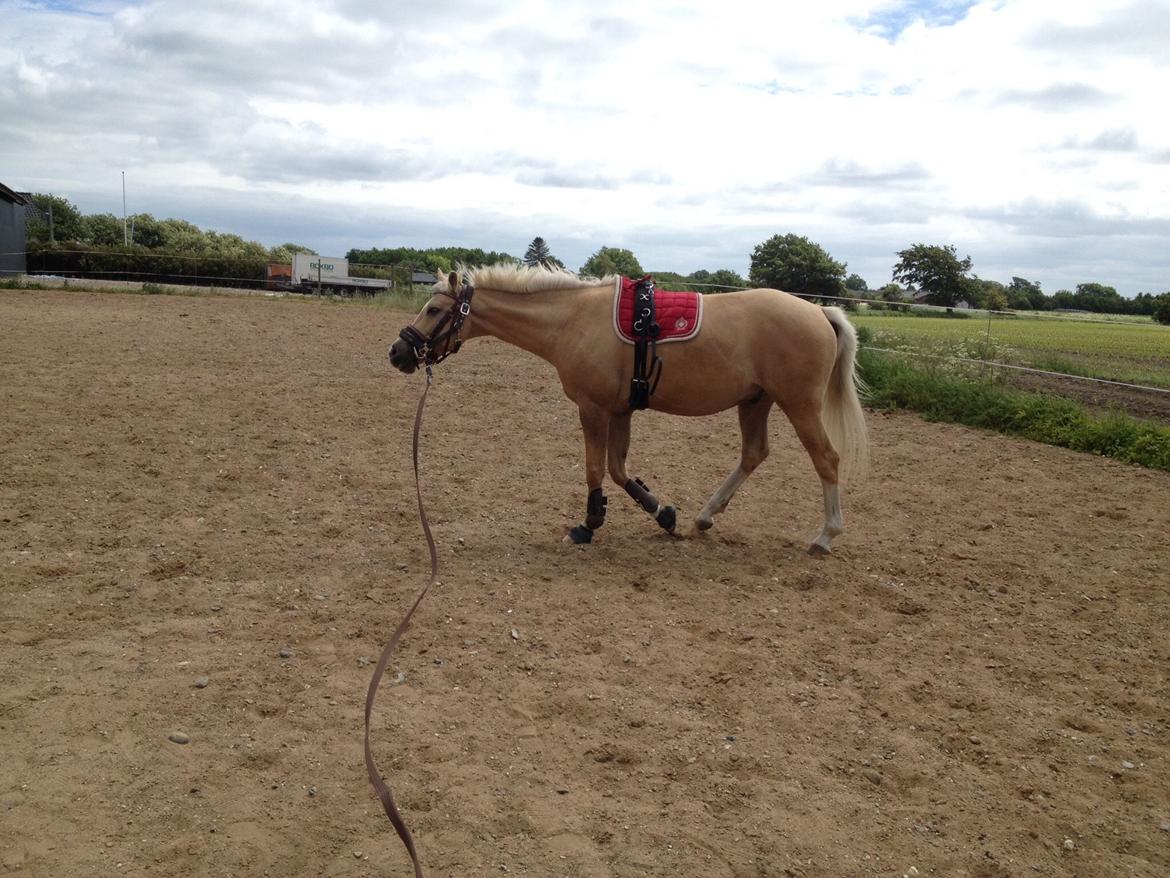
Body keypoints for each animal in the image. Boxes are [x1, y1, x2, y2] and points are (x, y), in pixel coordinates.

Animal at [393, 264, 870, 557]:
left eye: (434, 309)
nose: (398, 352)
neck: (572, 320)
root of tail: (818, 311)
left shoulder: (594, 409)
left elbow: (595, 468)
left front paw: (587, 525)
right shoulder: (621, 411)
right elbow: (619, 471)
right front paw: (664, 514)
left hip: (798, 404)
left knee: (826, 459)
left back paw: (825, 536)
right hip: (756, 402)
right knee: (754, 454)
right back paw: (704, 517)